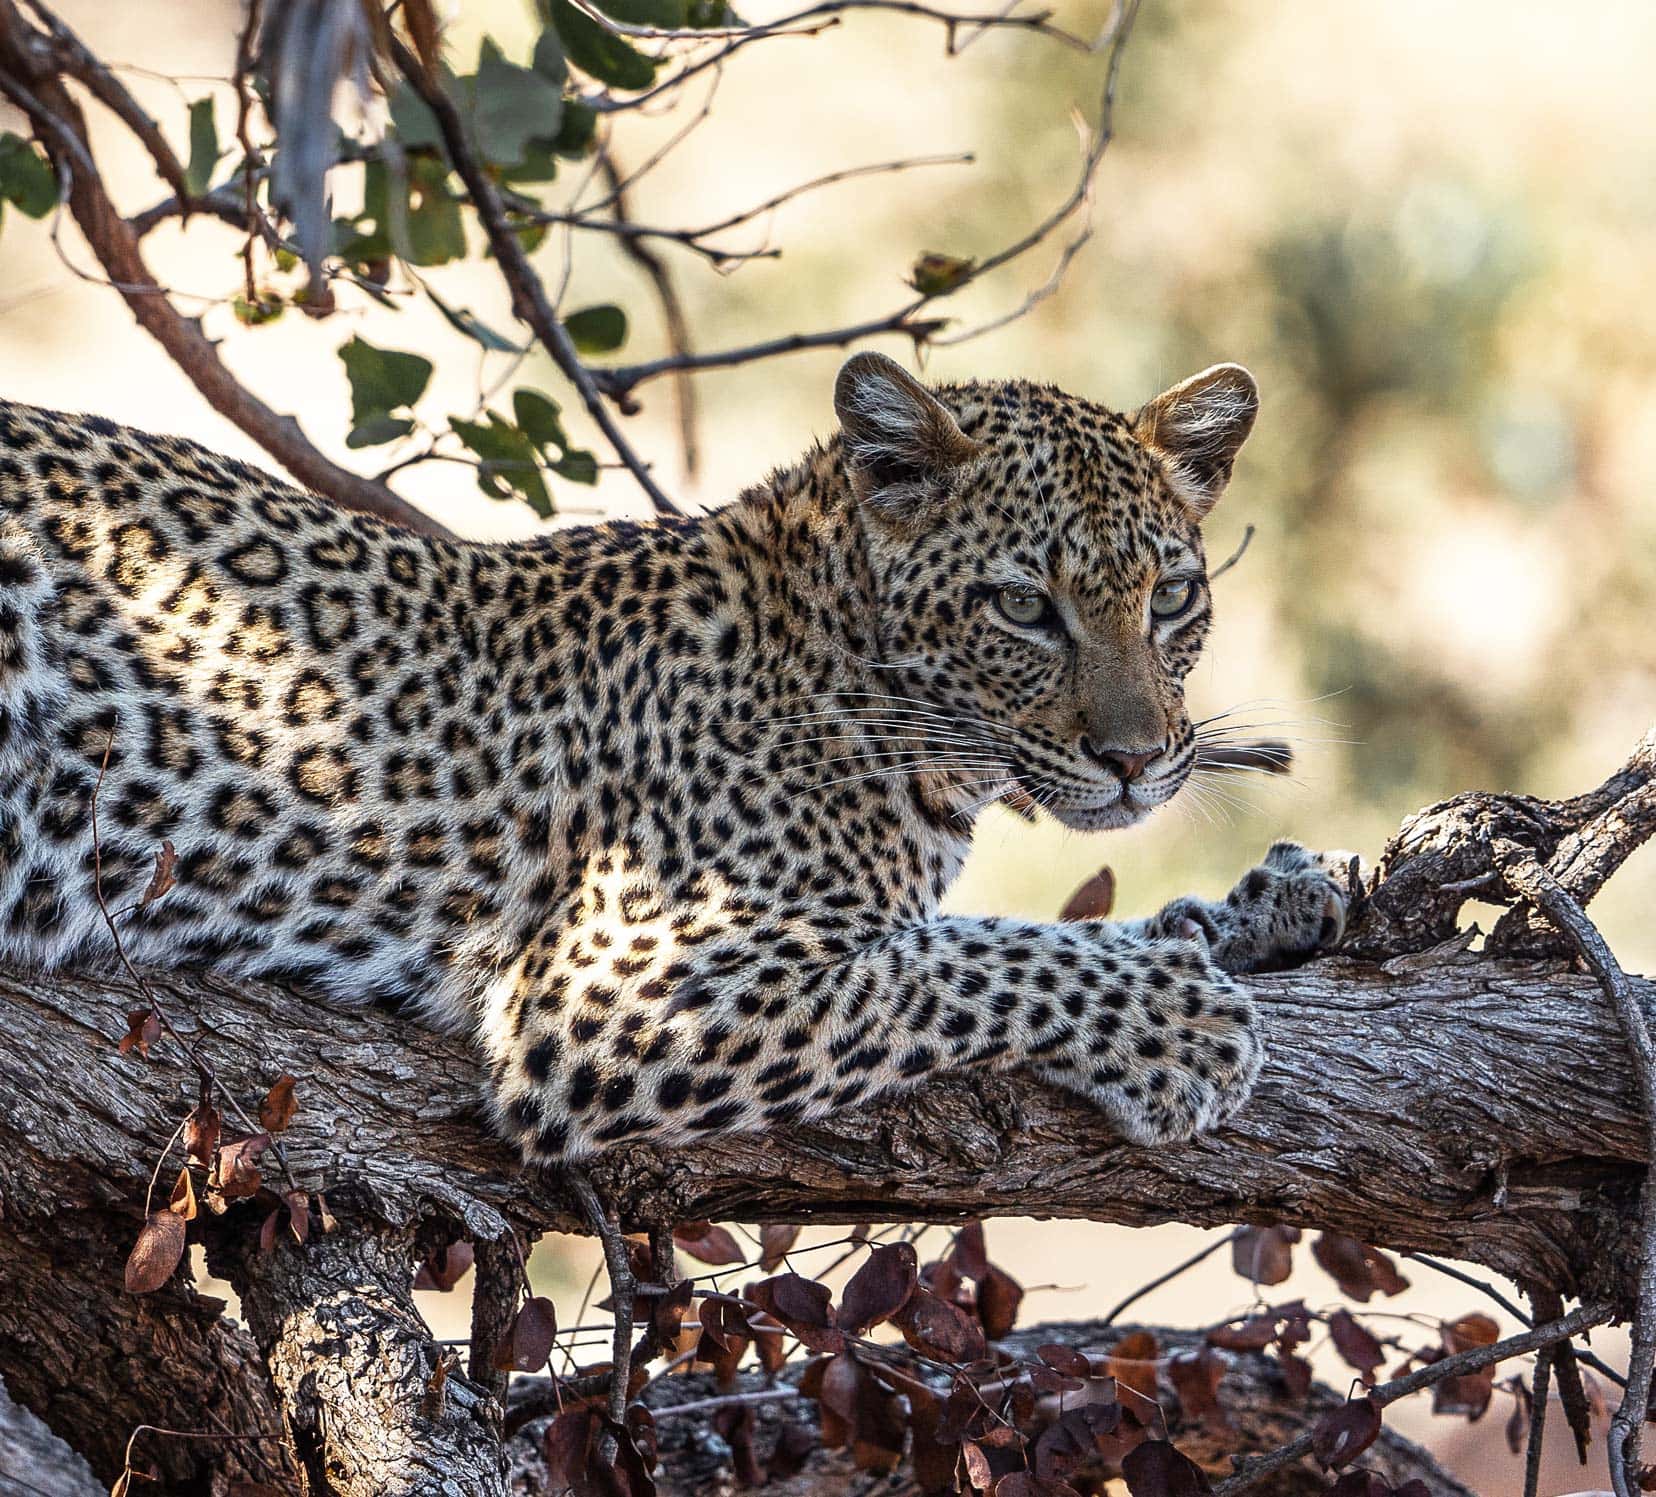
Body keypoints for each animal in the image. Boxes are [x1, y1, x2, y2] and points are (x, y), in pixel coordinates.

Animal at [0, 351, 1351, 1159]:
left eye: (1172, 596)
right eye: (1024, 607)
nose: (1139, 760)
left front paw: (1273, 905)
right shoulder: (617, 991)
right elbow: (967, 961)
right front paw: (1179, 1024)